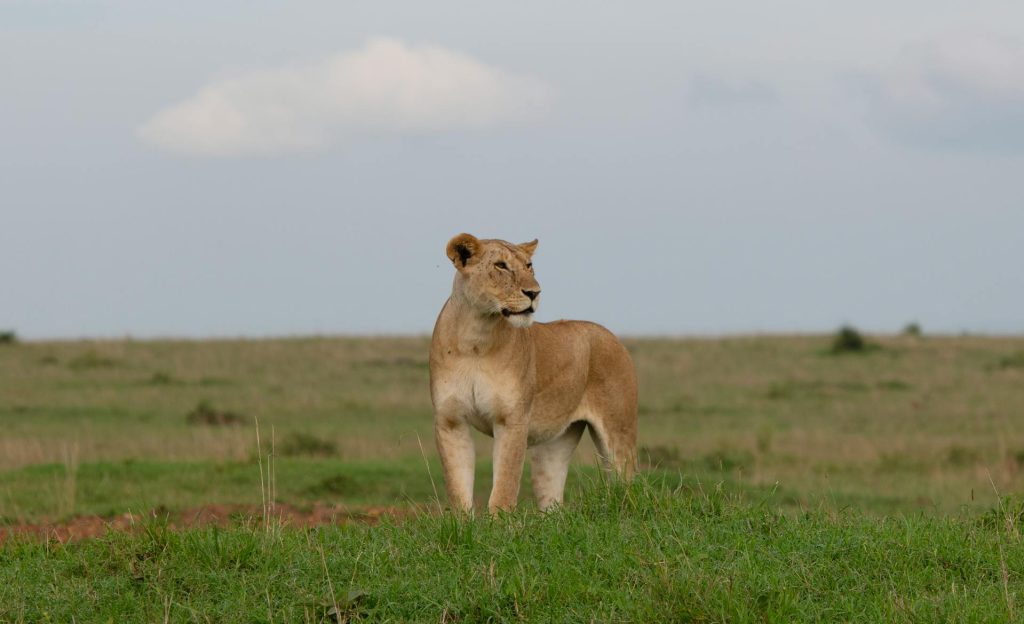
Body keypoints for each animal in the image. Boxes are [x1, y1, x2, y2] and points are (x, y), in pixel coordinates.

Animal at [429, 233, 638, 513]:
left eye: (529, 266)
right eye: (501, 266)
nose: (534, 293)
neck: (475, 337)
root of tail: (612, 336)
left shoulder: (512, 420)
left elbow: (505, 485)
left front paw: (500, 522)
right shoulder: (450, 421)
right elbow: (457, 487)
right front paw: (463, 521)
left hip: (618, 433)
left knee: (627, 482)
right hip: (553, 446)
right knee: (552, 499)